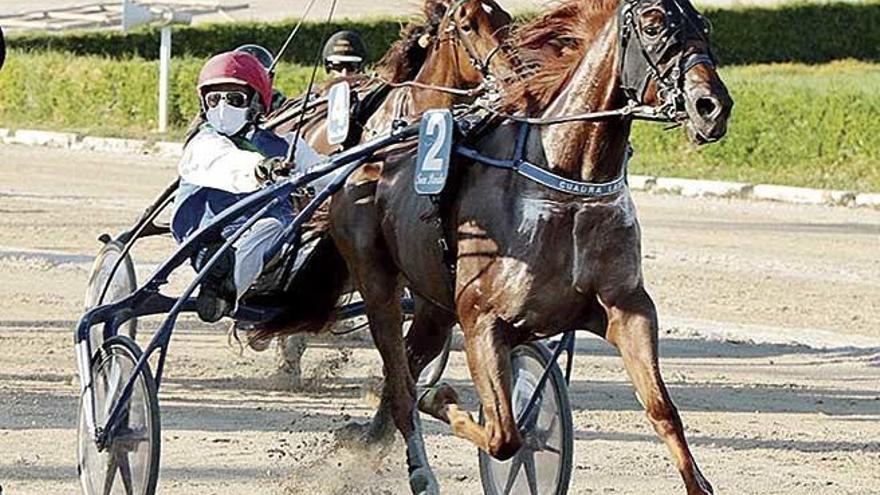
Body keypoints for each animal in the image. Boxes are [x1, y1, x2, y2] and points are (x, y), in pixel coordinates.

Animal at [326, 0, 732, 494]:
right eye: (653, 25)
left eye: (704, 24)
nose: (712, 106)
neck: (568, 178)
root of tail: (363, 159)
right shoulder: (482, 319)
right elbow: (504, 434)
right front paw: (441, 399)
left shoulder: (628, 308)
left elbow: (662, 410)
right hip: (378, 284)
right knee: (401, 382)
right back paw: (419, 461)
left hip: (432, 305)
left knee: (407, 363)